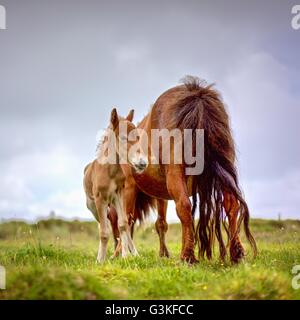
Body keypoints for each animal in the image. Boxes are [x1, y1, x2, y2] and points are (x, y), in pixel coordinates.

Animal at [111, 76, 256, 264]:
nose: (114, 243)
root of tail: (196, 95)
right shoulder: (161, 193)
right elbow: (160, 223)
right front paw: (163, 253)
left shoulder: (129, 186)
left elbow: (127, 219)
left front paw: (120, 253)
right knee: (231, 204)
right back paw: (236, 253)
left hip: (175, 173)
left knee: (184, 206)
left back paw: (187, 255)